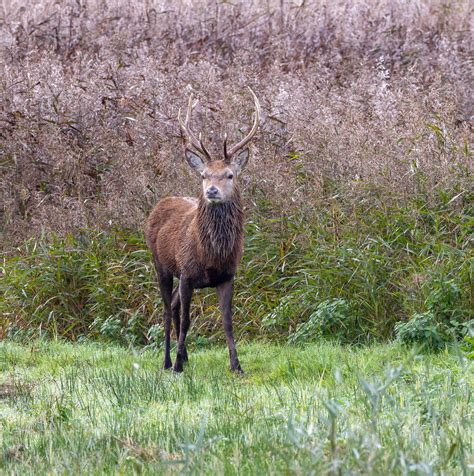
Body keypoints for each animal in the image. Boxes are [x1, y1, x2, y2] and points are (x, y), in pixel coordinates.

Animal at [146, 88, 262, 372]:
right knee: (167, 308)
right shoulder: (187, 273)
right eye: (204, 175)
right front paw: (177, 365)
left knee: (173, 304)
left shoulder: (227, 276)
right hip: (161, 264)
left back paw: (185, 356)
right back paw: (168, 361)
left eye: (230, 174)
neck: (211, 255)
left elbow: (228, 322)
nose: (211, 191)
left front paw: (237, 366)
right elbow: (188, 320)